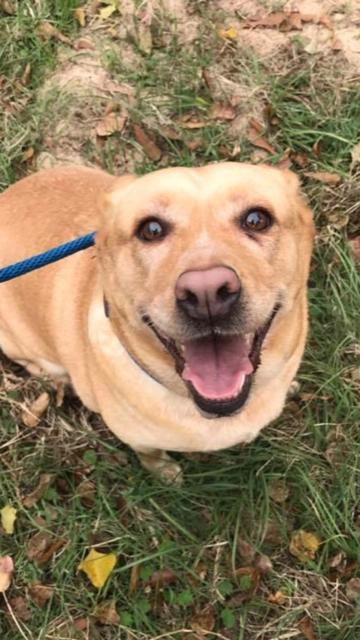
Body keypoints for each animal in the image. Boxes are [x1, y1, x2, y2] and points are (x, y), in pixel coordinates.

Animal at [0, 162, 314, 482]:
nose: (207, 293)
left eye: (256, 219)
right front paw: (164, 472)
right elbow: (150, 454)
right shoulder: (139, 440)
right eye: (151, 229)